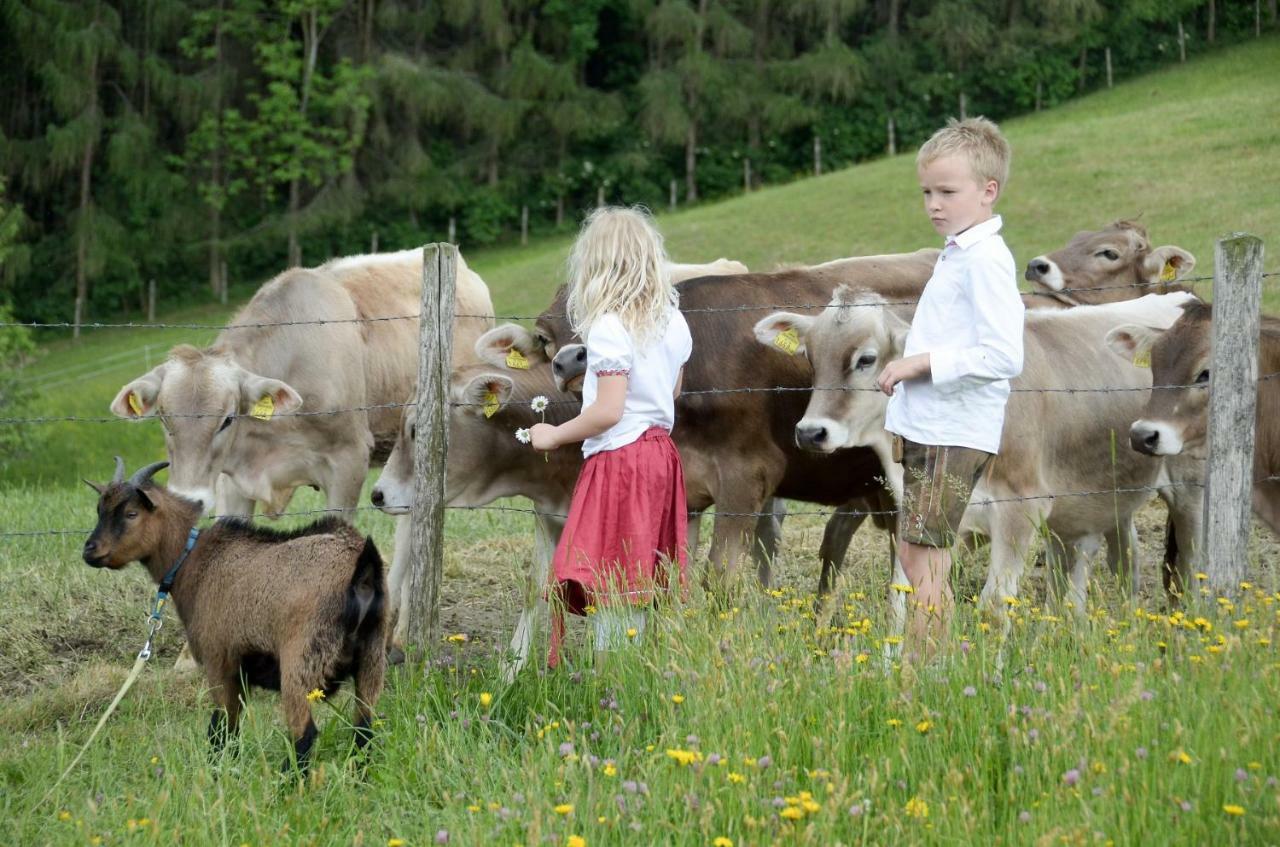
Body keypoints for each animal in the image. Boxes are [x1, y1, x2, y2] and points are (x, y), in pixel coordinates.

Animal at [83, 458, 384, 777]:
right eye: (100, 510)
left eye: (131, 513)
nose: (89, 550)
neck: (192, 561)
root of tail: (361, 569)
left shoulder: (220, 662)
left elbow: (221, 729)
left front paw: (217, 773)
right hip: (372, 658)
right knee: (364, 729)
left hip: (300, 662)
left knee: (304, 734)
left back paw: (286, 783)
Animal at [757, 291, 1208, 629]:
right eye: (811, 359)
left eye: (865, 359)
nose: (811, 432)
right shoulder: (922, 516)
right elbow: (907, 598)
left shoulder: (1020, 509)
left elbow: (993, 605)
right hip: (1096, 503)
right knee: (1110, 565)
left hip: (1188, 490)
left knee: (1187, 567)